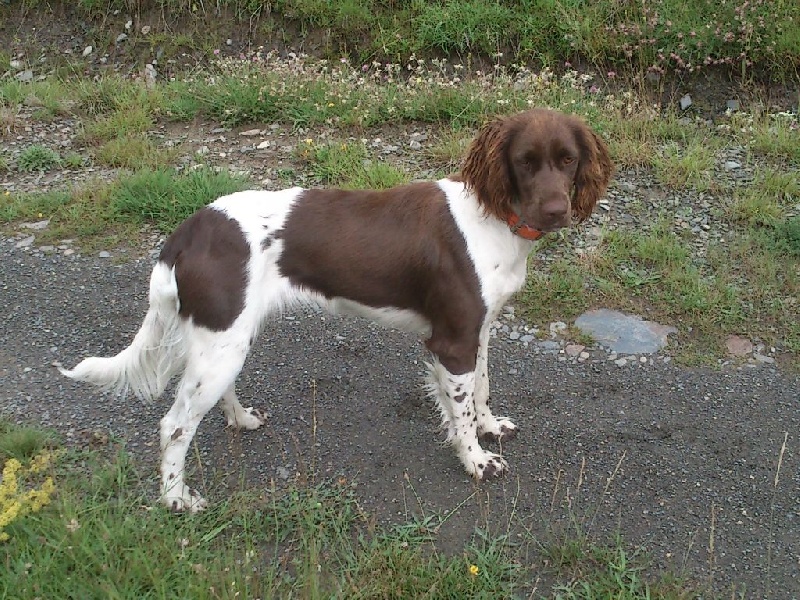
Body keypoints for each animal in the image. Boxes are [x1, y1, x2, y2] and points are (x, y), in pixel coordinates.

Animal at [60, 109, 614, 512]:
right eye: (525, 161)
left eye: (568, 160)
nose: (557, 211)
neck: (493, 218)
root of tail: (189, 228)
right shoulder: (452, 339)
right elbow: (459, 408)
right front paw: (476, 460)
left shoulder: (478, 330)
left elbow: (480, 387)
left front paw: (489, 426)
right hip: (221, 340)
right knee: (174, 426)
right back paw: (176, 499)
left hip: (227, 336)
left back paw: (241, 420)